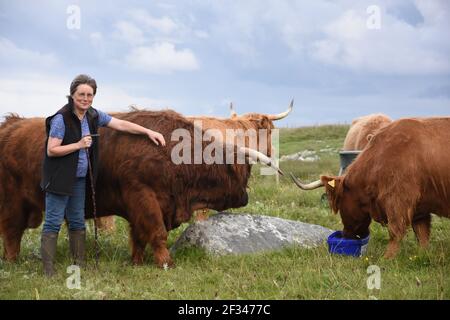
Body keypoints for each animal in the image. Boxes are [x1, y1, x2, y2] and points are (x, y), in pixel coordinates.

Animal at [0, 110, 282, 268]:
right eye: (242, 172)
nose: (245, 197)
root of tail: (10, 125)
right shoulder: (143, 198)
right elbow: (156, 233)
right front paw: (166, 262)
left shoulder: (141, 206)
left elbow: (138, 237)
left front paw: (136, 262)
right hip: (14, 202)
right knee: (12, 232)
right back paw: (13, 261)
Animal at [290, 117, 448, 258]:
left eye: (340, 205)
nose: (346, 234)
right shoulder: (420, 209)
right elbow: (422, 235)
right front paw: (423, 254)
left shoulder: (399, 199)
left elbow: (395, 231)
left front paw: (387, 259)